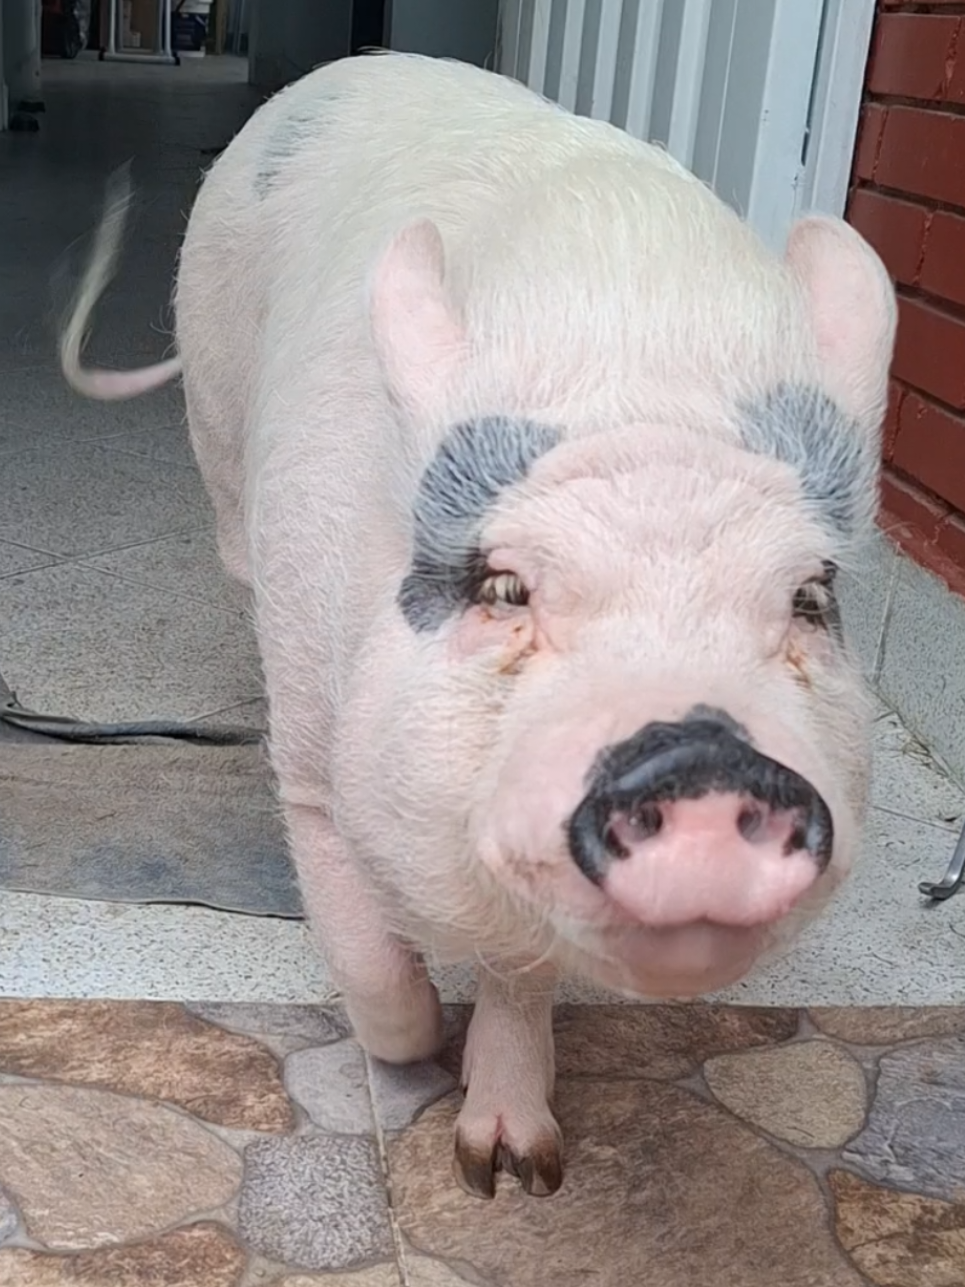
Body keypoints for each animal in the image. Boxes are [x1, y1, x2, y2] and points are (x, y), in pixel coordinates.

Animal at [59, 50, 896, 1198]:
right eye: (503, 587)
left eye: (808, 597)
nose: (700, 754)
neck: (634, 373)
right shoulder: (316, 759)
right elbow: (365, 947)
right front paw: (415, 1062)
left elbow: (517, 967)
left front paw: (512, 1173)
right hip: (220, 441)